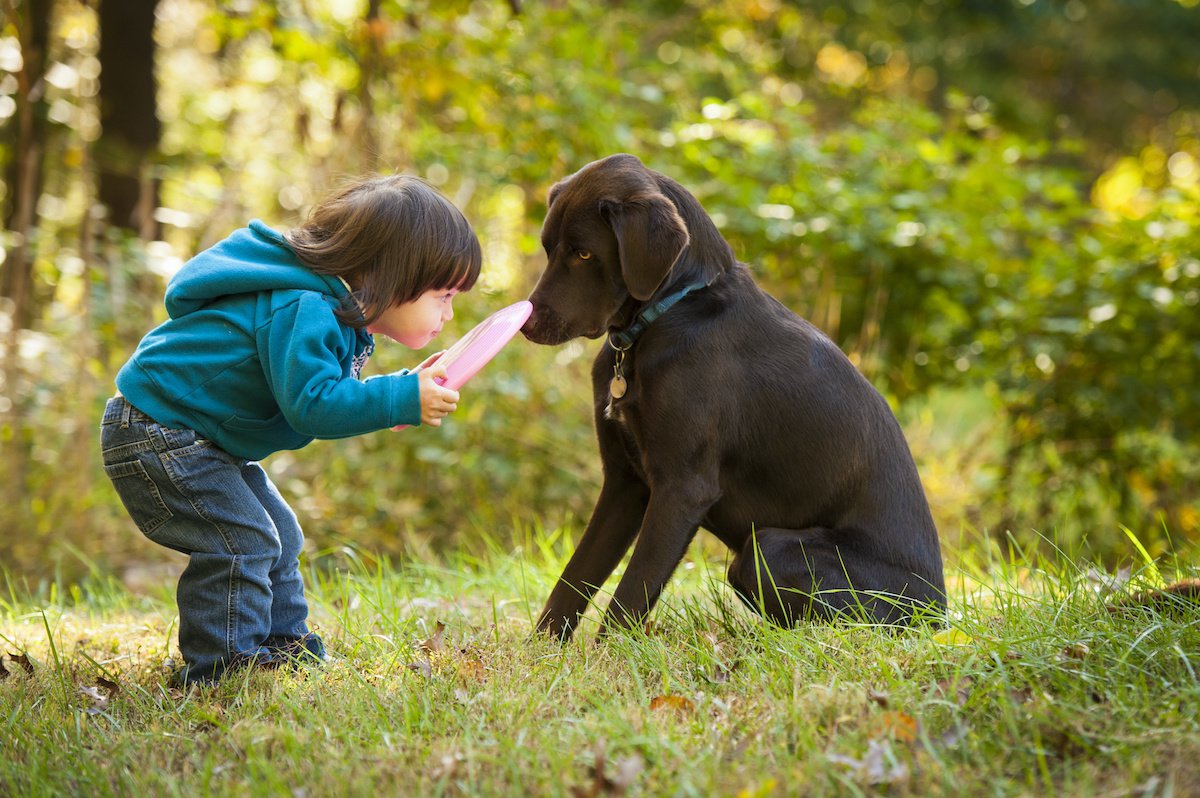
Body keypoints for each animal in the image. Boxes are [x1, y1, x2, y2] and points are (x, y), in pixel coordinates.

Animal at [525, 153, 945, 643]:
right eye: (549, 248)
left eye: (584, 253)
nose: (526, 324)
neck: (671, 311)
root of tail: (940, 615)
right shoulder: (624, 483)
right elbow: (573, 579)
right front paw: (540, 654)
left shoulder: (682, 488)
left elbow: (630, 594)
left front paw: (606, 657)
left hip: (769, 549)